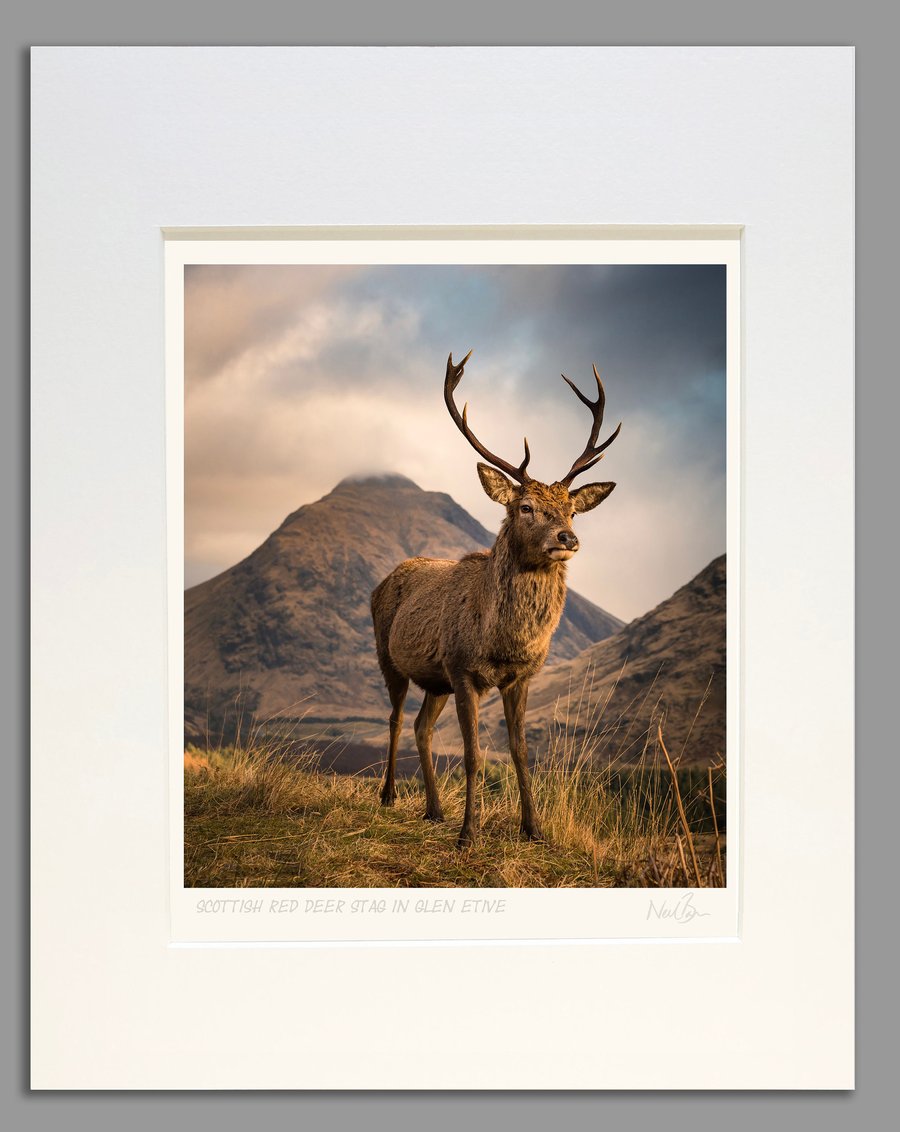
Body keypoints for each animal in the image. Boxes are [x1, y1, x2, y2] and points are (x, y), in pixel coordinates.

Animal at [370, 350, 621, 848]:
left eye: (572, 509)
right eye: (525, 507)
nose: (568, 538)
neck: (501, 640)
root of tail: (383, 580)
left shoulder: (518, 677)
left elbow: (520, 752)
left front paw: (534, 828)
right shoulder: (462, 668)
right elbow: (473, 755)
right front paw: (469, 834)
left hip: (435, 681)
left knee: (421, 727)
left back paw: (433, 810)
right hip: (391, 658)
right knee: (394, 718)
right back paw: (389, 796)